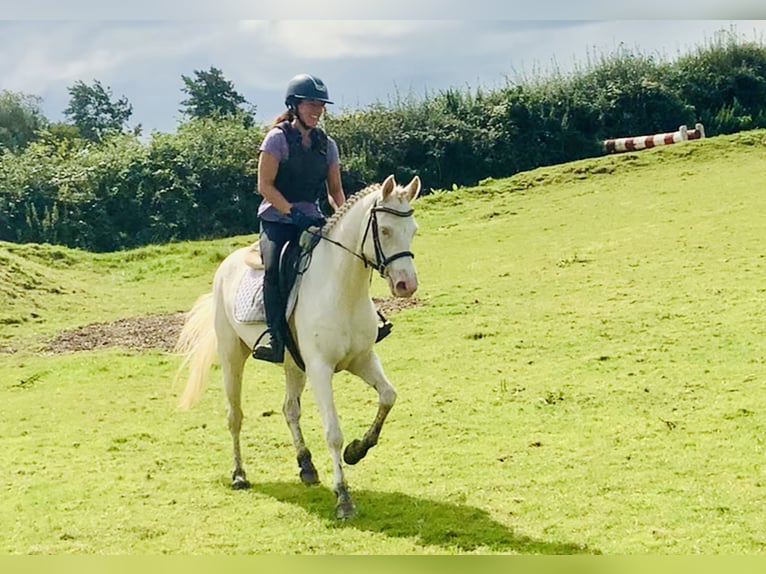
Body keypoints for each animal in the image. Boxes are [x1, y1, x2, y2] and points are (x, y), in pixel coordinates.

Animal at [174, 173, 424, 520]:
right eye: (385, 230)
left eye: (412, 230)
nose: (406, 286)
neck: (342, 290)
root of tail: (226, 264)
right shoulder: (320, 369)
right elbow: (333, 432)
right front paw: (343, 498)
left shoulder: (362, 359)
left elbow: (388, 397)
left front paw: (357, 450)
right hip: (232, 356)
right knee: (234, 415)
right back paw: (239, 475)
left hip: (294, 365)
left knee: (289, 409)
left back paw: (306, 465)